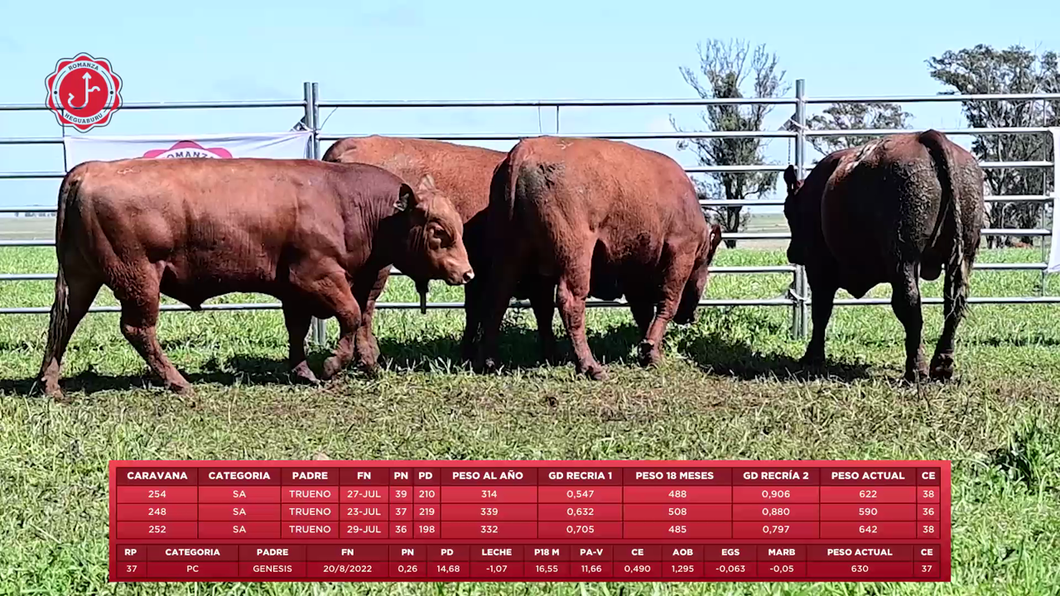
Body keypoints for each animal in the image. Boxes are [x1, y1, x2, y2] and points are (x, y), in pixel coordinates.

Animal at [38, 158, 472, 398]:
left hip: (81, 276)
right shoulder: (318, 277)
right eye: (438, 230)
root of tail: (91, 169)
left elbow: (304, 328)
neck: (349, 205)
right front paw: (331, 366)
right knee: (136, 329)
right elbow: (350, 315)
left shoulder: (295, 289)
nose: (467, 273)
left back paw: (50, 385)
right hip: (140, 278)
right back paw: (178, 382)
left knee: (64, 321)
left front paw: (307, 370)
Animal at [476, 135, 725, 377]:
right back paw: (590, 366)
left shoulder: (634, 269)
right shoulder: (681, 252)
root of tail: (525, 149)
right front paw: (653, 353)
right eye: (706, 265)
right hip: (576, 253)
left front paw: (647, 350)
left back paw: (495, 361)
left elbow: (643, 312)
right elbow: (667, 302)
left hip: (509, 254)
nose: (690, 317)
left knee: (501, 298)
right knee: (569, 301)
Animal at [780, 129, 983, 379]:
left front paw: (813, 357)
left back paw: (915, 369)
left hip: (904, 259)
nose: (792, 253)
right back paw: (942, 365)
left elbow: (821, 310)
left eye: (787, 211)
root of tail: (925, 136)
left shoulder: (819, 266)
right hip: (964, 255)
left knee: (910, 305)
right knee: (953, 305)